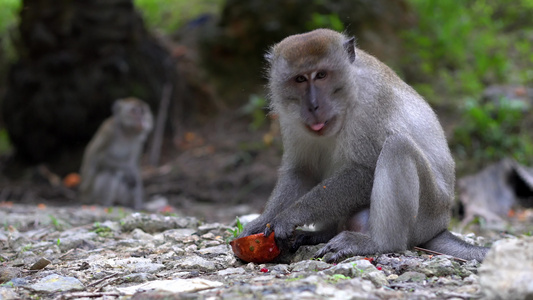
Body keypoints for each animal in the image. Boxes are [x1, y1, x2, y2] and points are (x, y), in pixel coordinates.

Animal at [239, 28, 488, 262]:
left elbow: (366, 170)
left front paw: (290, 215)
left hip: (427, 213)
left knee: (398, 147)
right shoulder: (290, 117)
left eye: (321, 75)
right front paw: (262, 221)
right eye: (300, 79)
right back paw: (323, 234)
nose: (313, 105)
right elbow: (303, 171)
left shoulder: (371, 99)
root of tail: (441, 225)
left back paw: (378, 243)